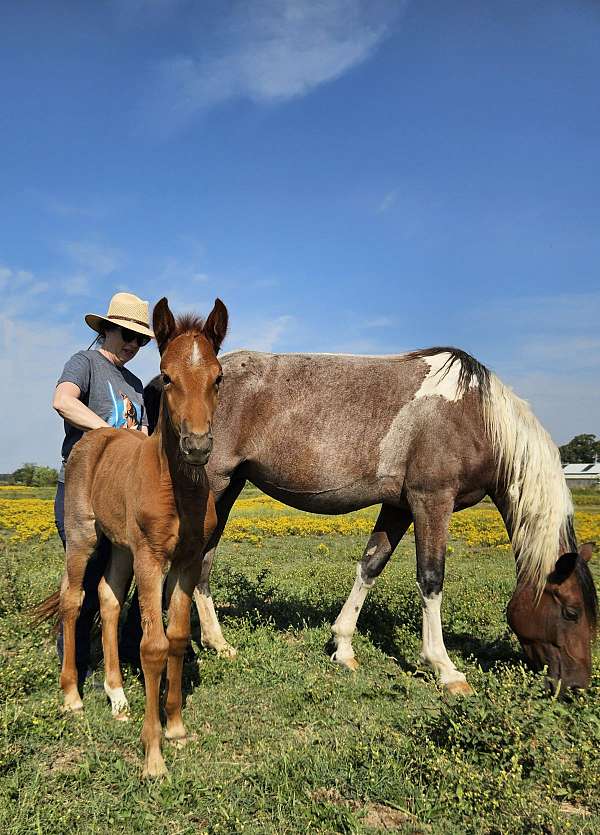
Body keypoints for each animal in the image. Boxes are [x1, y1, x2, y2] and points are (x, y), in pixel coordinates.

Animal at [55, 296, 228, 778]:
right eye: (166, 377)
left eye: (218, 377)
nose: (196, 446)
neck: (176, 489)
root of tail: (95, 438)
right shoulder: (152, 558)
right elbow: (153, 646)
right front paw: (153, 756)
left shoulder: (187, 560)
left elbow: (178, 638)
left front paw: (177, 728)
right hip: (84, 538)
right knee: (74, 599)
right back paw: (72, 696)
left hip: (120, 547)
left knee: (108, 597)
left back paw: (116, 695)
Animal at [145, 347, 598, 693]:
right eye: (571, 612)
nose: (577, 686)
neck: (475, 418)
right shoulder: (432, 501)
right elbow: (431, 578)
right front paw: (445, 668)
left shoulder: (399, 507)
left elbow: (370, 565)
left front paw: (343, 647)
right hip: (215, 485)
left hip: (229, 487)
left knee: (202, 564)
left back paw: (216, 643)